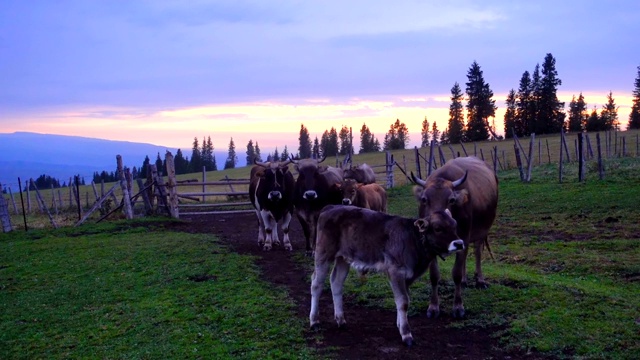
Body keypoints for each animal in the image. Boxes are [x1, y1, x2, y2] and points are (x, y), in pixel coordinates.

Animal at [310, 205, 464, 346]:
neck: (413, 240)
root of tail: (331, 207)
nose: (459, 243)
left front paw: (400, 324)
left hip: (343, 258)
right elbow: (403, 301)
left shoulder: (408, 276)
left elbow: (402, 300)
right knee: (316, 284)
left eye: (455, 225)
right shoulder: (396, 271)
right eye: (438, 228)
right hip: (323, 253)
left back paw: (340, 319)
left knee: (336, 282)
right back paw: (314, 321)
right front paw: (406, 333)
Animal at [412, 156, 498, 320]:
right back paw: (465, 281)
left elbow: (456, 273)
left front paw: (458, 306)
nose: (436, 224)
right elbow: (434, 275)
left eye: (451, 200)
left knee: (477, 252)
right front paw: (433, 307)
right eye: (425, 199)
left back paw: (480, 280)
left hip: (482, 229)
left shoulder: (464, 235)